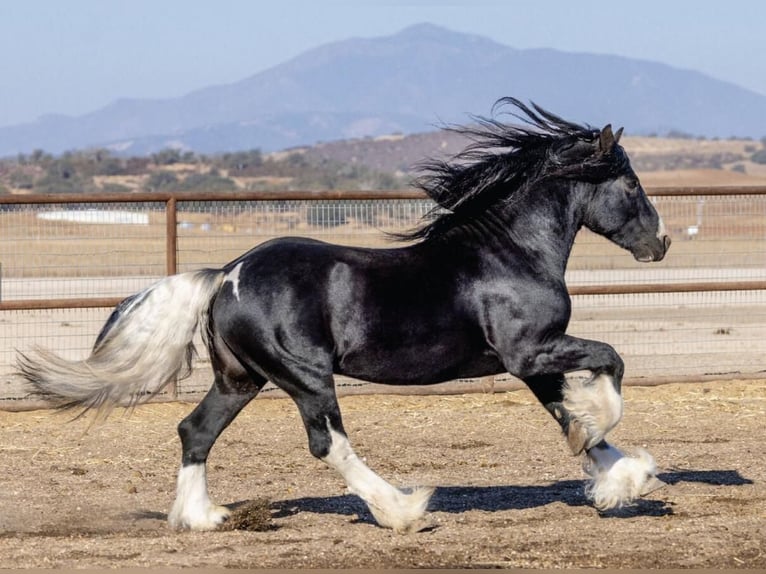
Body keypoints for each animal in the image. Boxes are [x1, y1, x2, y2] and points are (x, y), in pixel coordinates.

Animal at [18, 99, 672, 536]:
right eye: (631, 184)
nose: (661, 243)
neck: (509, 252)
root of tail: (226, 273)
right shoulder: (530, 350)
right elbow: (611, 365)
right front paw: (612, 453)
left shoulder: (533, 359)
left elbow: (568, 413)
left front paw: (621, 478)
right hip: (305, 376)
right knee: (327, 443)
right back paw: (404, 509)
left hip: (241, 379)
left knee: (194, 430)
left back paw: (204, 518)